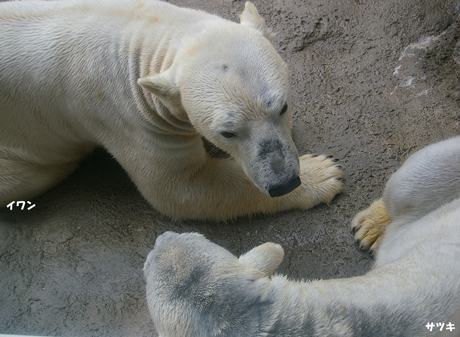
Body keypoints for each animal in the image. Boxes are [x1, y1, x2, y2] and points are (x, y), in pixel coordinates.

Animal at [0, 0, 344, 219]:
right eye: (227, 132)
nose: (284, 182)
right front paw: (324, 174)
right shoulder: (127, 115)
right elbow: (178, 188)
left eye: (283, 106)